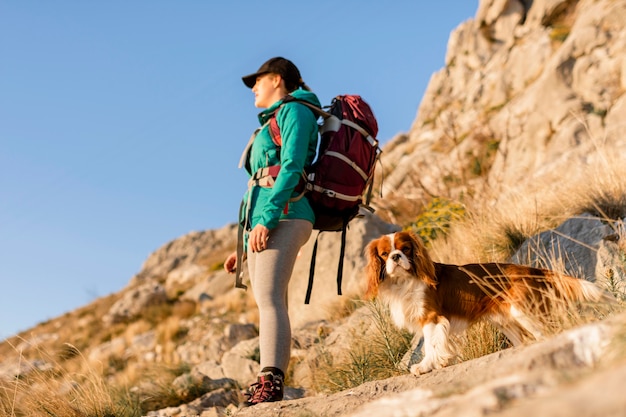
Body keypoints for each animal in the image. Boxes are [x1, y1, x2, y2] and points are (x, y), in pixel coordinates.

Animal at [364, 231, 612, 374]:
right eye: (384, 254)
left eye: (405, 249)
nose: (396, 257)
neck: (405, 281)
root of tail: (531, 270)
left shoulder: (432, 318)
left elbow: (431, 346)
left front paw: (426, 366)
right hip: (507, 322)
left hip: (524, 312)